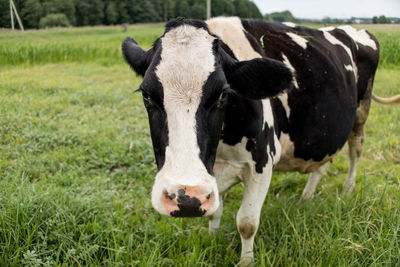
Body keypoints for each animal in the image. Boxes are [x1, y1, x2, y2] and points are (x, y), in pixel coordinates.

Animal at [122, 17, 400, 266]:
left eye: (223, 94)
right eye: (147, 96)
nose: (186, 197)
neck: (220, 151)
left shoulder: (262, 161)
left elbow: (246, 221)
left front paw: (246, 261)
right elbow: (215, 211)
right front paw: (212, 240)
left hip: (361, 113)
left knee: (355, 150)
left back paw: (348, 189)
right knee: (322, 163)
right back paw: (306, 197)